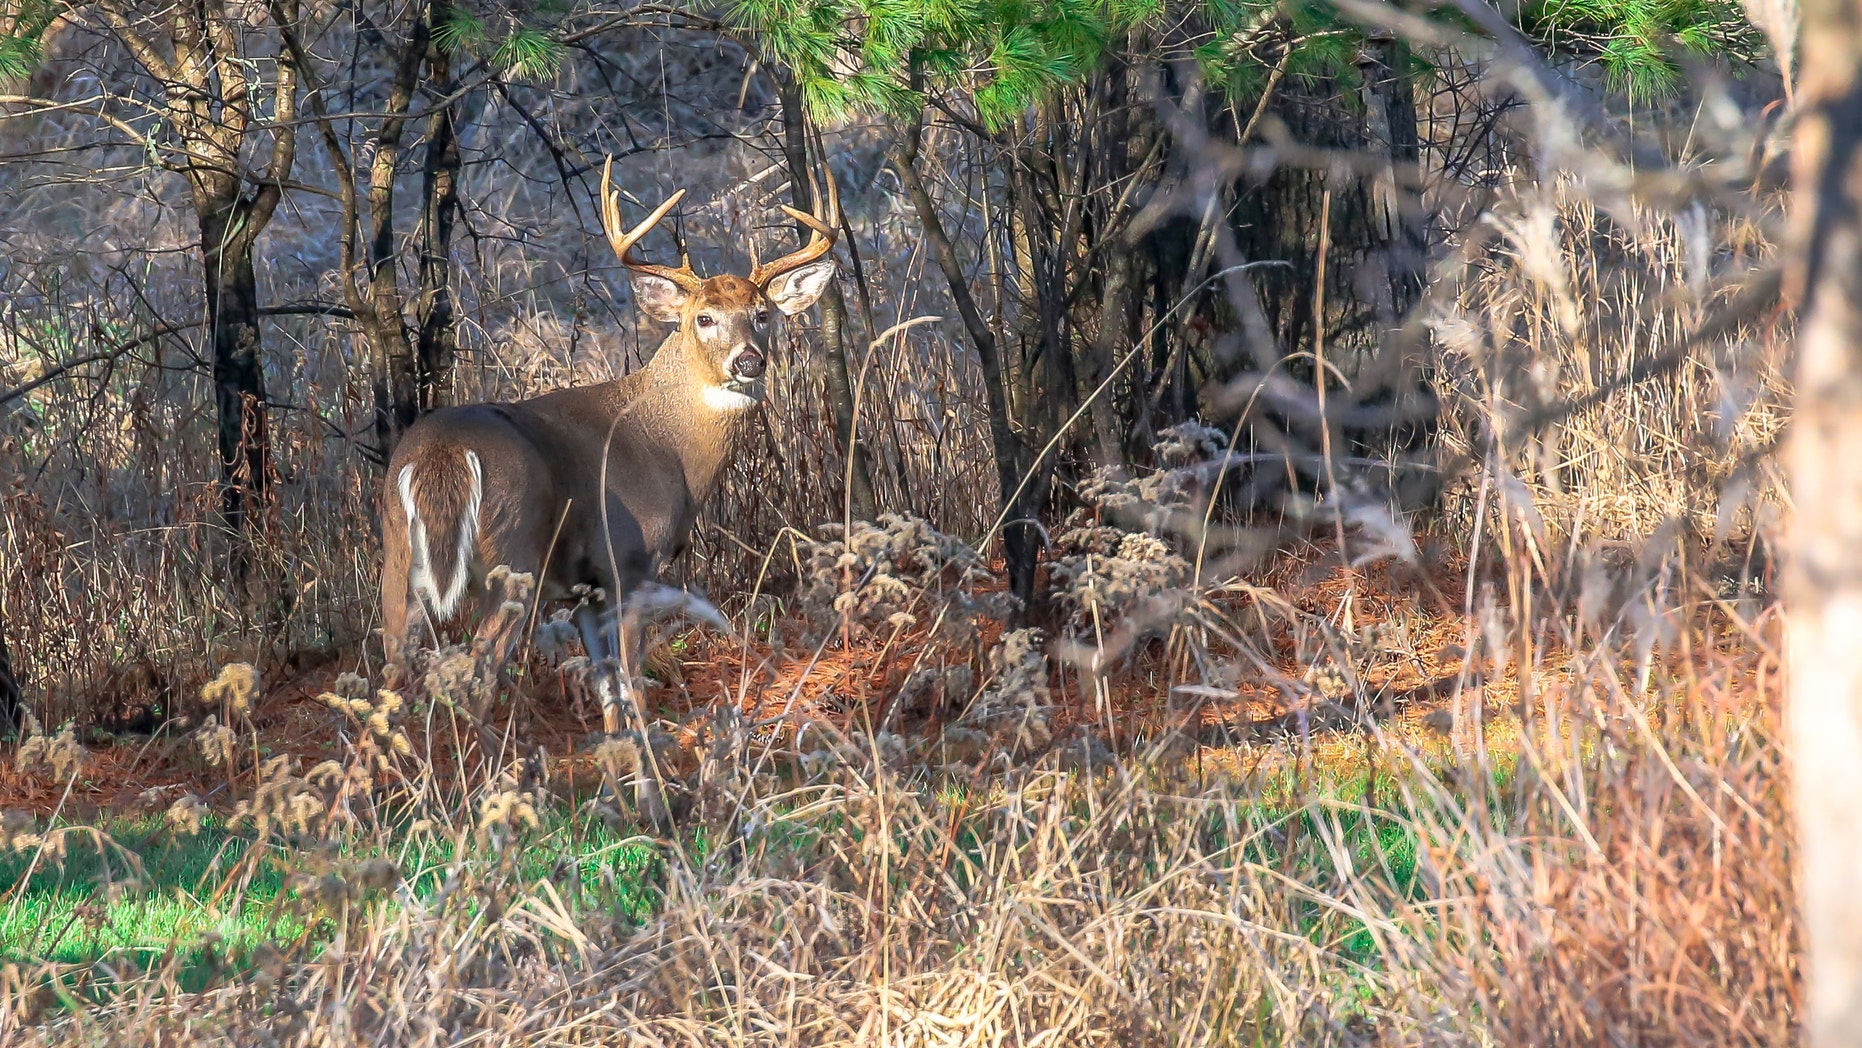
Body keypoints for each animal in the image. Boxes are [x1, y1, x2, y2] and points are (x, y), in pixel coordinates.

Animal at [381, 160, 841, 733]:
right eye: (704, 318)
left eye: (763, 313)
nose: (749, 361)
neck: (669, 446)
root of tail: (441, 455)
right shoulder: (628, 562)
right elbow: (634, 686)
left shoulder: (585, 589)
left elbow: (608, 689)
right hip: (514, 556)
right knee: (476, 677)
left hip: (396, 558)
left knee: (389, 679)